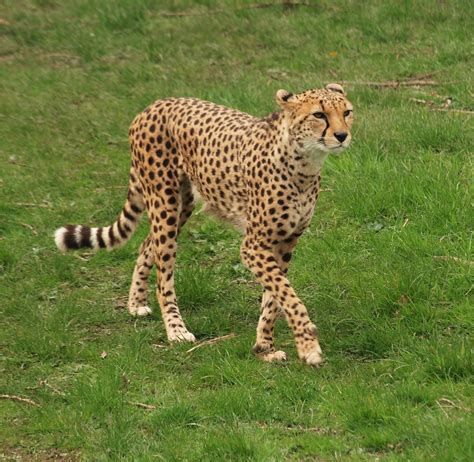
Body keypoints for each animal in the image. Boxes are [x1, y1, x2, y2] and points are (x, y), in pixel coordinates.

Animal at [54, 82, 352, 364]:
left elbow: (274, 299)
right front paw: (308, 347)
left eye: (347, 112)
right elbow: (287, 295)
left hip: (181, 205)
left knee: (146, 245)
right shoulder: (254, 246)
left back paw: (136, 302)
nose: (342, 135)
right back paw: (175, 330)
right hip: (164, 203)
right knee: (163, 276)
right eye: (319, 114)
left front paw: (264, 347)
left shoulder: (286, 242)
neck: (304, 163)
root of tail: (155, 104)